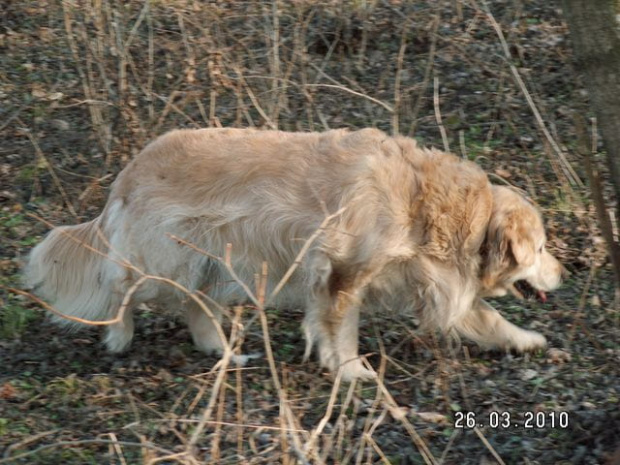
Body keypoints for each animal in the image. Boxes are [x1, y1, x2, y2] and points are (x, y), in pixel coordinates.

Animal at [24, 128, 564, 380]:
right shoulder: (343, 273)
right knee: (122, 284)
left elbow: (488, 317)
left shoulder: (434, 281)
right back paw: (118, 335)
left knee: (196, 307)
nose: (563, 274)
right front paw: (352, 372)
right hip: (165, 259)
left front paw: (528, 340)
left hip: (210, 263)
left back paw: (224, 352)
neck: (425, 201)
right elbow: (342, 330)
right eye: (540, 248)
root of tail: (128, 171)